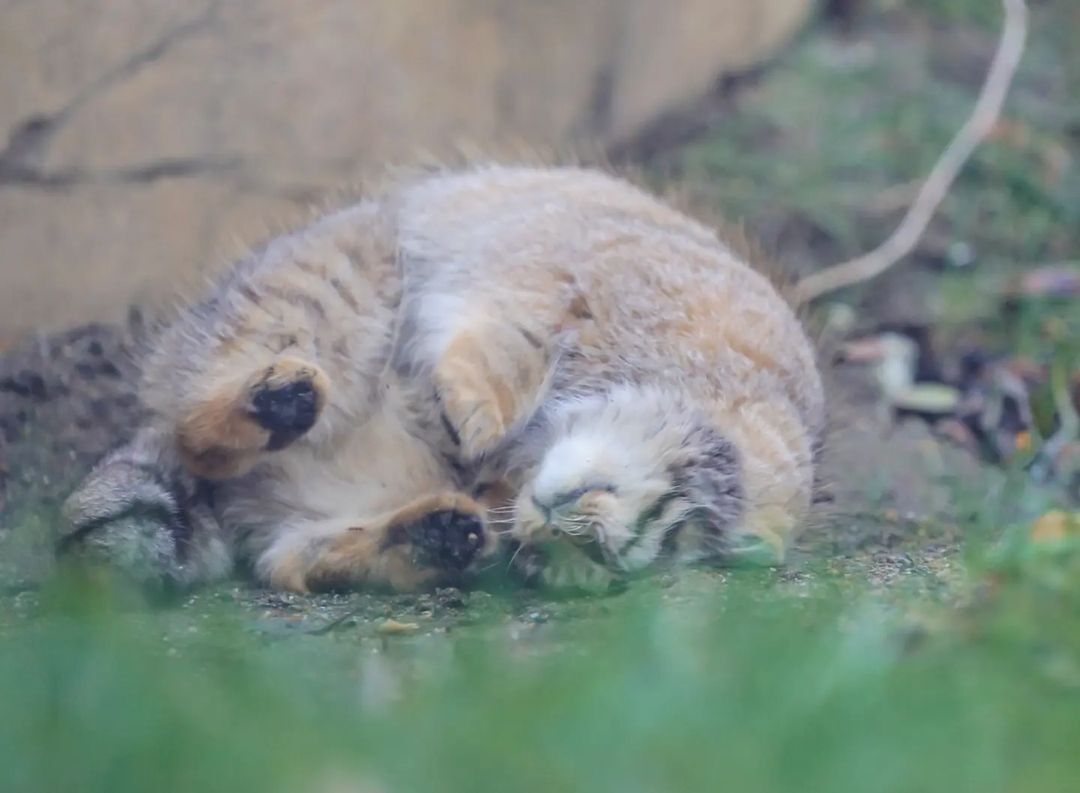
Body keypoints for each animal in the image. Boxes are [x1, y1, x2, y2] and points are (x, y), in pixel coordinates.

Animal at [63, 166, 820, 592]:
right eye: (669, 513)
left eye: (614, 564)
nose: (587, 534)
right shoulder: (561, 284)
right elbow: (506, 345)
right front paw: (472, 411)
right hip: (339, 268)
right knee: (199, 429)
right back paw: (277, 402)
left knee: (291, 563)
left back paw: (430, 537)